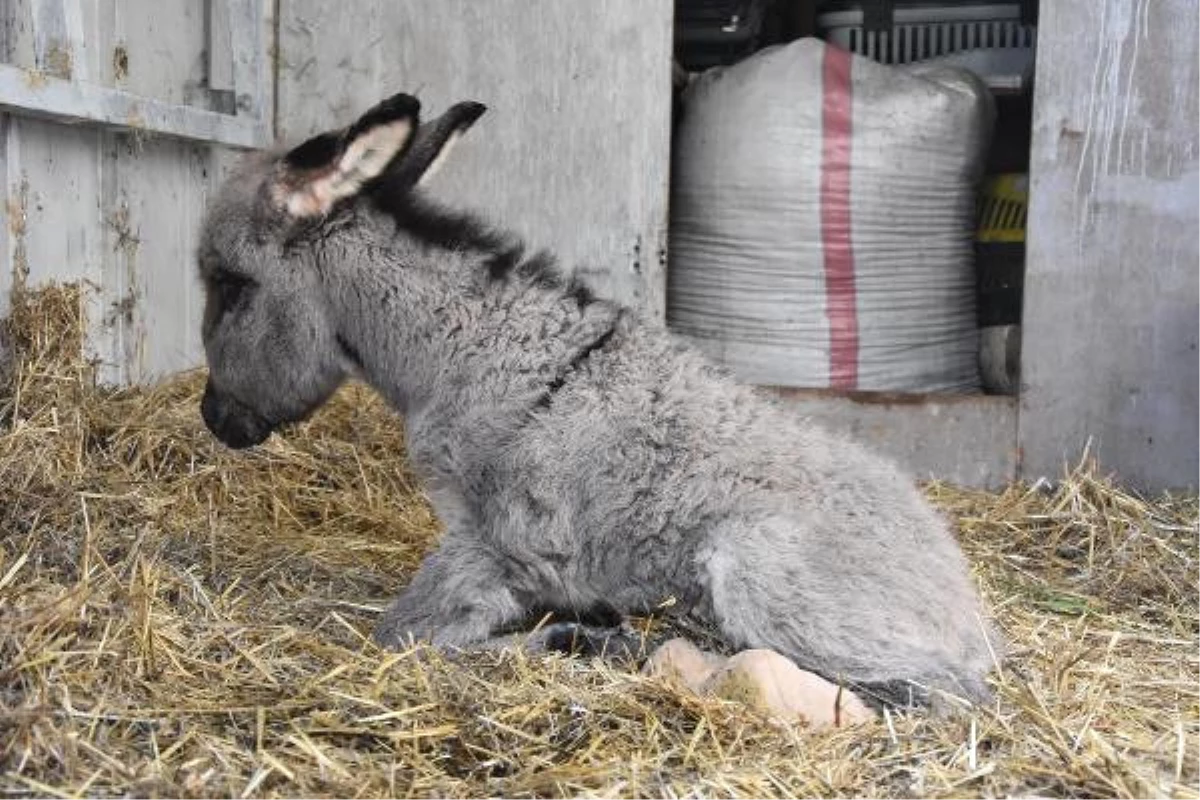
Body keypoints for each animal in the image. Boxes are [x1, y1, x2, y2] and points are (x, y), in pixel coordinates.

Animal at [196, 92, 1003, 705]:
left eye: (229, 286)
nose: (213, 419)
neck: (460, 356)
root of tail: (968, 611)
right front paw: (576, 632)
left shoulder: (490, 544)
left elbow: (404, 638)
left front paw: (561, 641)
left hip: (761, 571)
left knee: (915, 695)